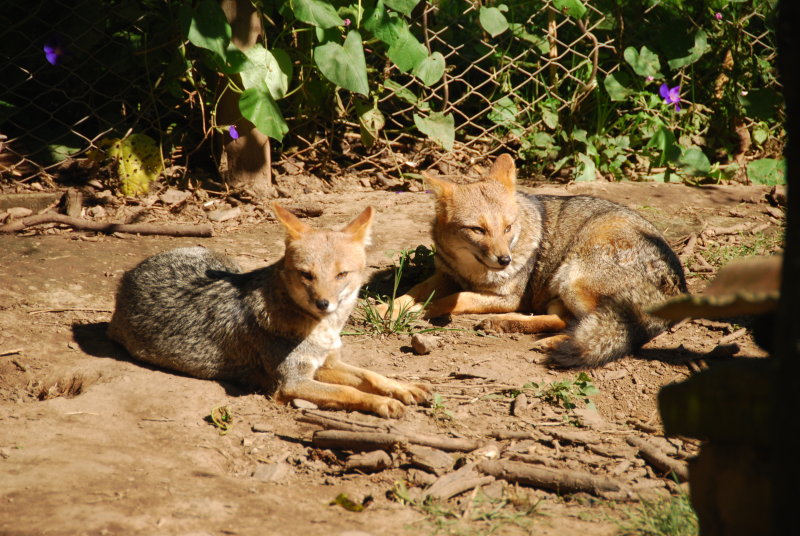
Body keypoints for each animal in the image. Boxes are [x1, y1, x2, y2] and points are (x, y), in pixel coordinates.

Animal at [111, 203, 432, 416]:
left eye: (342, 274)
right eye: (306, 275)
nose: (323, 304)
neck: (323, 330)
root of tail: (130, 273)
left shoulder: (326, 365)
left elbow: (371, 376)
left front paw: (402, 388)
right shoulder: (291, 382)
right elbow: (349, 391)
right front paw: (383, 402)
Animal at [380, 153, 688, 366]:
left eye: (507, 227)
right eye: (478, 230)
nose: (504, 260)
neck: (471, 271)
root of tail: (677, 285)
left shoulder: (509, 297)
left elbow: (456, 299)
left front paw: (420, 310)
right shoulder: (445, 274)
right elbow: (411, 292)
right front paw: (390, 308)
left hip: (571, 281)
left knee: (584, 324)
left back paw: (547, 341)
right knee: (562, 319)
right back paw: (505, 325)